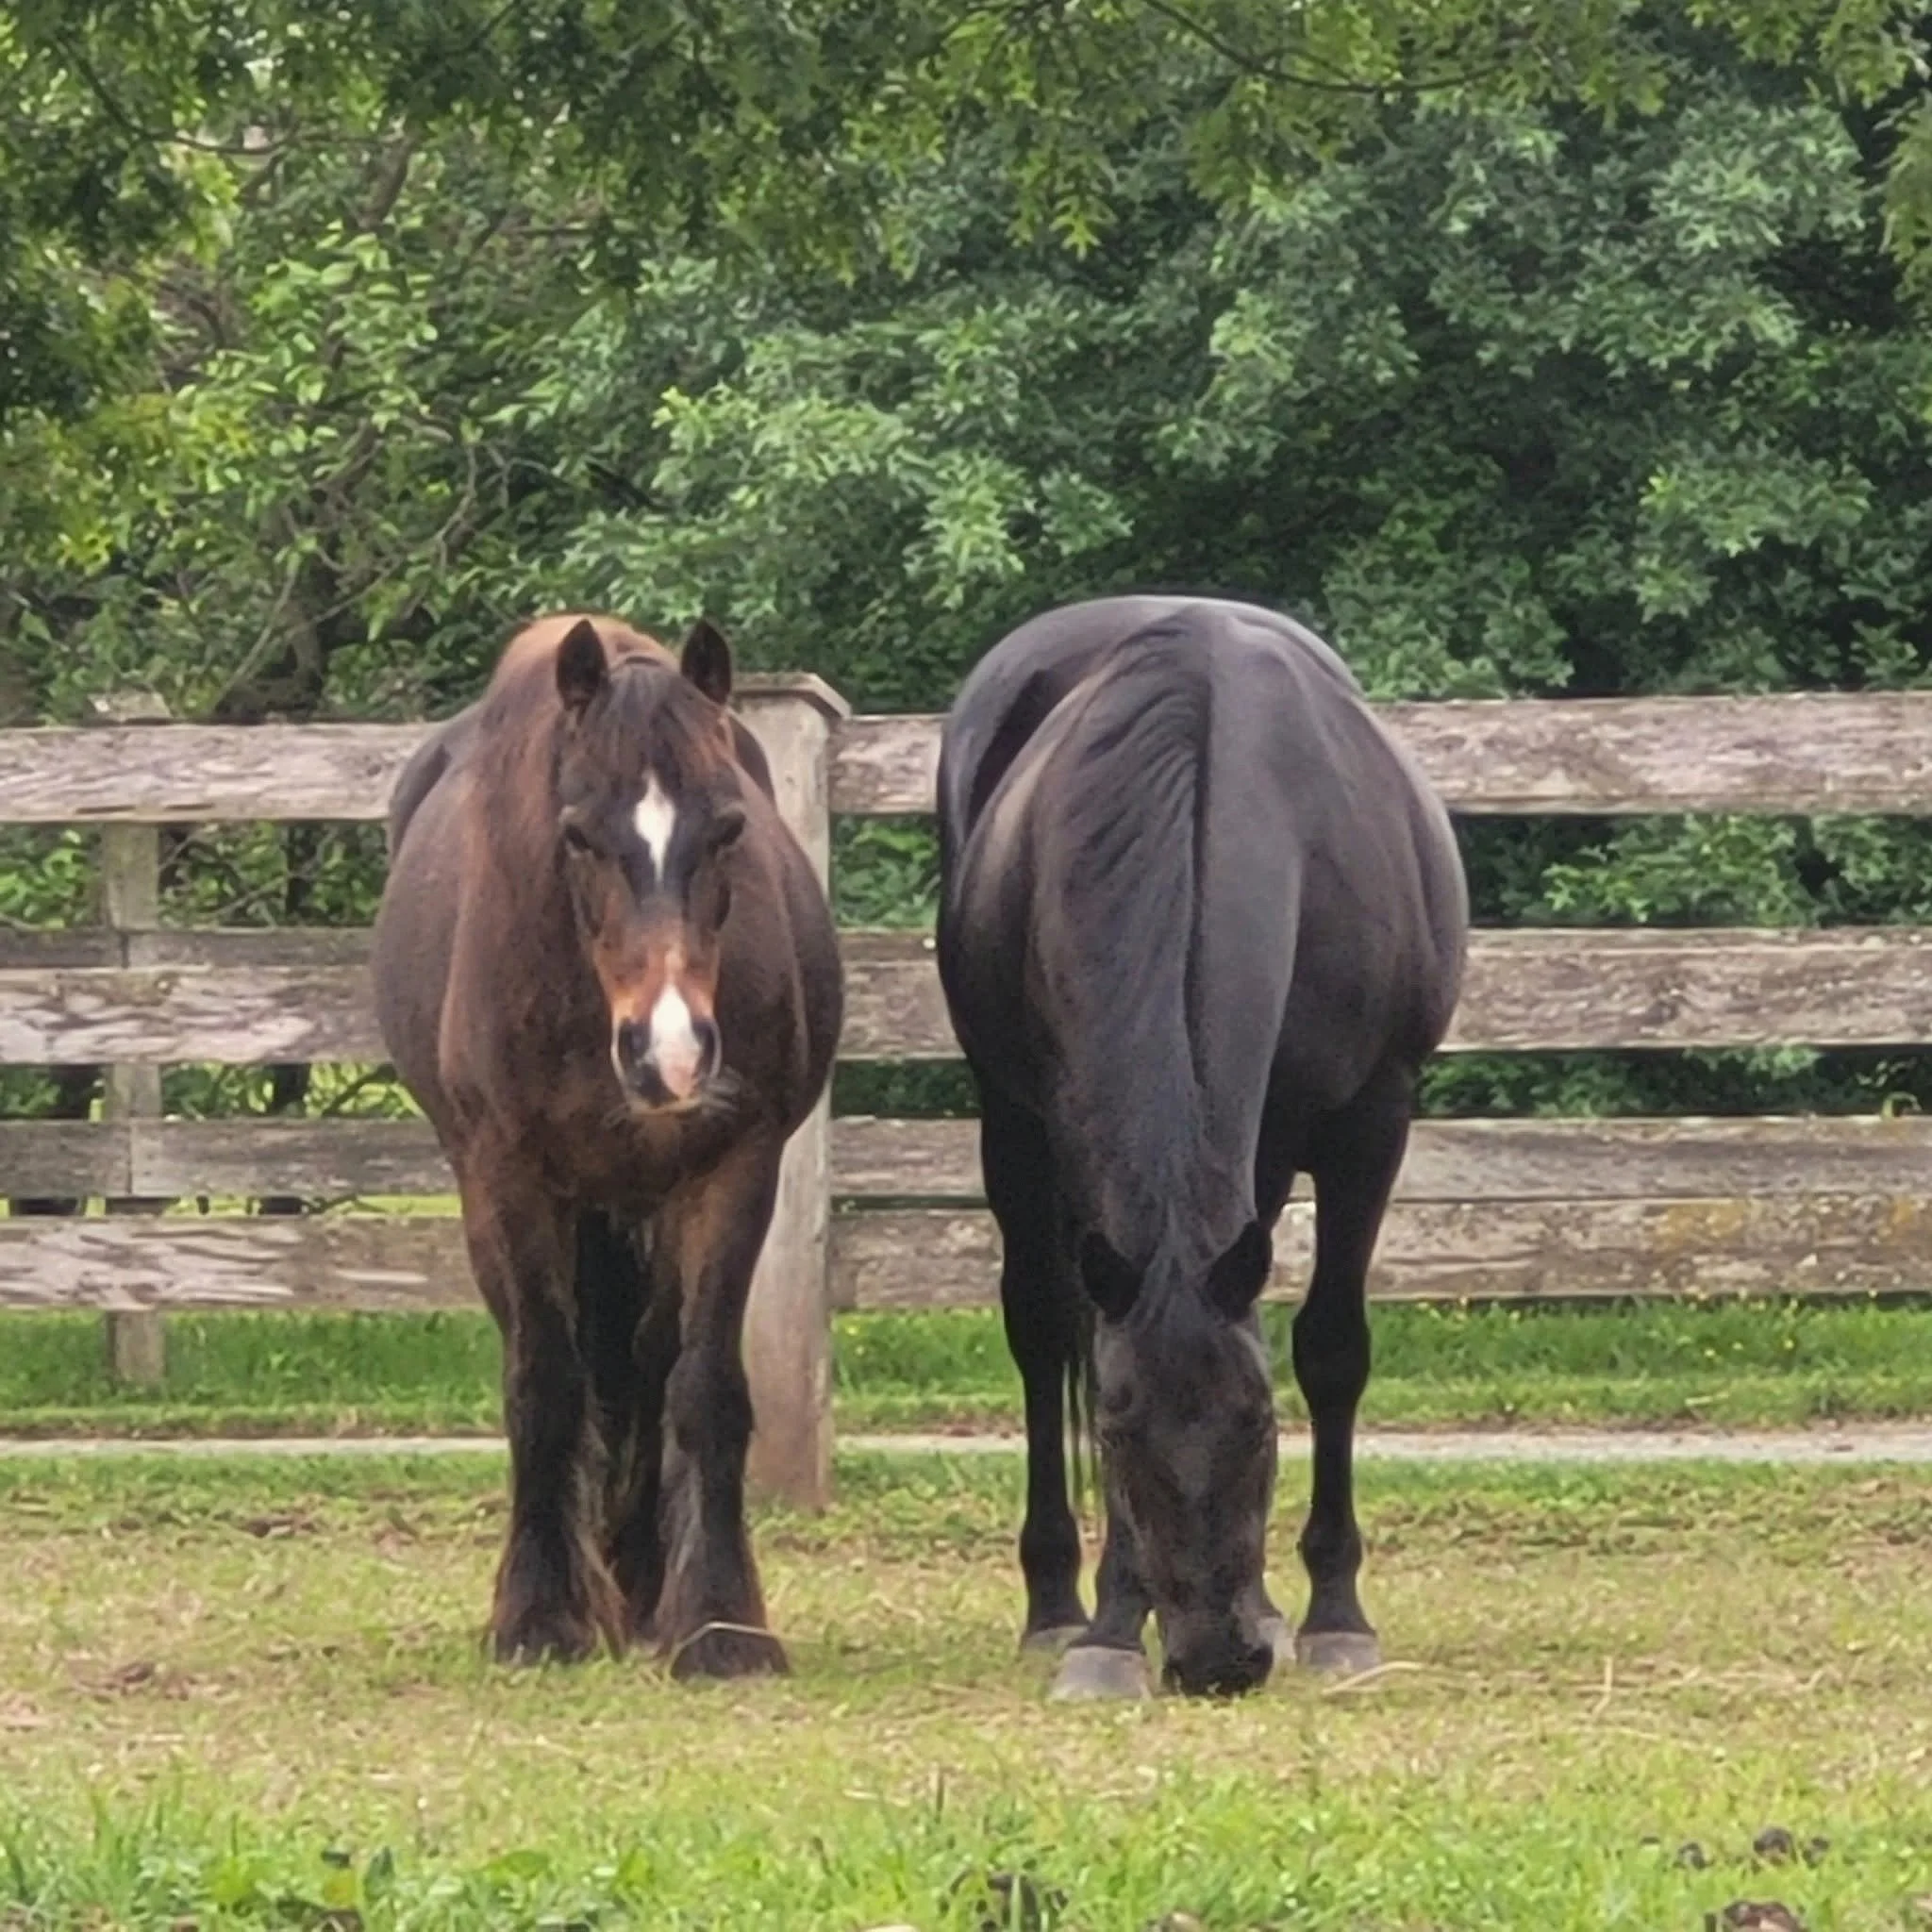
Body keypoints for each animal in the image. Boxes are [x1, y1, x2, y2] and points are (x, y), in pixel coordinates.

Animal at [372, 613, 842, 1677]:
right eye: (579, 832)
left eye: (729, 827)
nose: (670, 1051)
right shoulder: (507, 1176)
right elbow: (546, 1383)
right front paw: (539, 1616)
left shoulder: (731, 1168)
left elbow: (701, 1385)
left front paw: (719, 1621)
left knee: (647, 1358)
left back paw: (643, 1582)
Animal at [936, 595, 1467, 1699]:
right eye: (1118, 1428)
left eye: (1260, 1422)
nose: (1216, 1660)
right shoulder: (1064, 1121)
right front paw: (1108, 1628)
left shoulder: (1370, 1122)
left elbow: (1330, 1347)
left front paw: (1333, 1615)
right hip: (1012, 1130)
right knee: (1040, 1328)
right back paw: (1057, 1603)